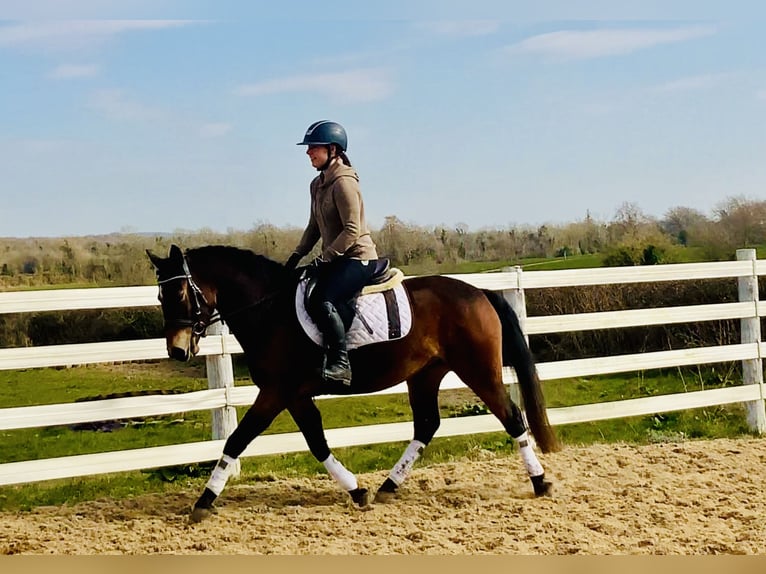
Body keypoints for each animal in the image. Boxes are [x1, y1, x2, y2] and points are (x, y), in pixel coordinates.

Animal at [147, 245, 560, 524]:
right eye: (160, 295)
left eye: (180, 293)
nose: (177, 350)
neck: (269, 310)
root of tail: (480, 292)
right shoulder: (294, 396)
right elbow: (316, 442)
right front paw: (357, 491)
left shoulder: (276, 393)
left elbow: (237, 439)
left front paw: (203, 501)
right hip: (425, 375)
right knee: (427, 425)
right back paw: (388, 487)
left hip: (479, 371)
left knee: (512, 417)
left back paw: (540, 482)